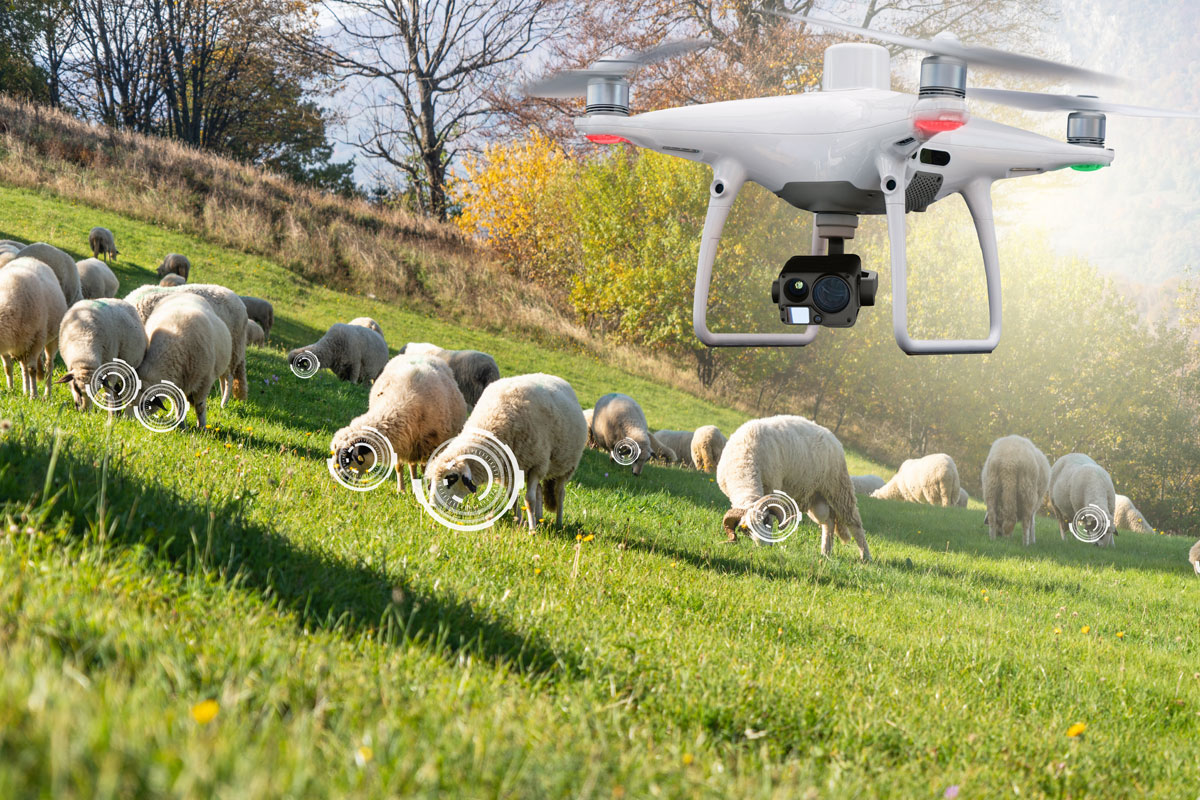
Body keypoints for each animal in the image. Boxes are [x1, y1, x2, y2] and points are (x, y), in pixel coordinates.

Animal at [0, 257, 67, 398]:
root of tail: (31, 258)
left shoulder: (36, 340)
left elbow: (33, 370)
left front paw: (34, 396)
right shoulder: (7, 345)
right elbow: (7, 368)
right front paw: (10, 389)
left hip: (51, 339)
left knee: (49, 365)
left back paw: (47, 394)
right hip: (22, 343)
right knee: (23, 367)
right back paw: (26, 391)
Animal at [136, 293, 231, 431]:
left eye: (144, 403)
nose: (129, 420)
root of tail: (186, 293)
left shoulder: (205, 381)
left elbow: (200, 406)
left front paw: (202, 427)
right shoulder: (176, 383)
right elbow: (179, 405)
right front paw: (182, 427)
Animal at [328, 357, 468, 494]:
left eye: (347, 457)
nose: (337, 481)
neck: (398, 403)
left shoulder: (429, 446)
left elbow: (426, 469)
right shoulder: (400, 443)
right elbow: (399, 467)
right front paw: (401, 490)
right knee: (412, 465)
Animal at [424, 376, 588, 532]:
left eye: (451, 478)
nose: (433, 507)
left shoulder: (536, 465)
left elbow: (529, 500)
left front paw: (531, 530)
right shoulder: (509, 469)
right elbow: (513, 497)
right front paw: (520, 522)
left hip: (566, 467)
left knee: (560, 493)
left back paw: (558, 524)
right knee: (540, 490)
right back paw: (540, 519)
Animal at [715, 417, 868, 561]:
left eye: (766, 520)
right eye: (745, 530)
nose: (765, 548)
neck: (744, 467)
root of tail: (832, 436)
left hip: (839, 488)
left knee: (854, 524)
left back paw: (865, 557)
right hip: (816, 498)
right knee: (828, 522)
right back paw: (825, 553)